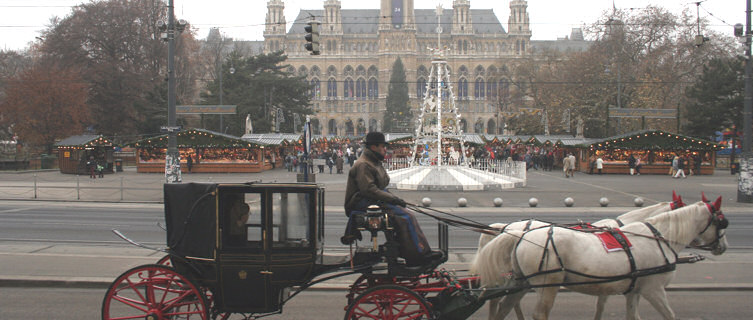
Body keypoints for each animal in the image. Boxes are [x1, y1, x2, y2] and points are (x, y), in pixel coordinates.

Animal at [476, 195, 728, 320]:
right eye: (722, 222)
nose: (723, 247)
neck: (657, 236)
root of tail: (512, 231)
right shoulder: (652, 289)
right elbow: (669, 315)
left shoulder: (627, 288)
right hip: (546, 283)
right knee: (534, 312)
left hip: (520, 281)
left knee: (503, 306)